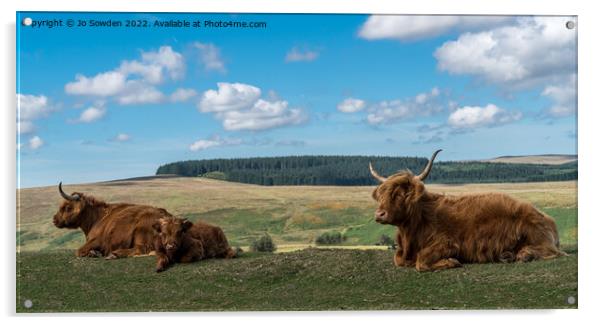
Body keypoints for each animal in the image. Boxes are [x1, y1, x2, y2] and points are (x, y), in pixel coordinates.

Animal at [368, 149, 564, 270]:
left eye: (400, 195)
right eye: (382, 195)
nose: (379, 214)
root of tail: (548, 219)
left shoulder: (448, 243)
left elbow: (421, 261)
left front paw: (452, 262)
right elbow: (398, 259)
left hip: (536, 235)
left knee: (554, 253)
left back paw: (524, 254)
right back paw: (507, 255)